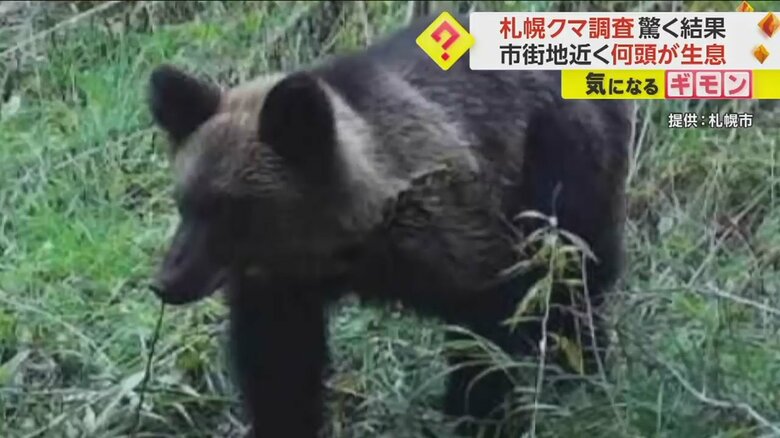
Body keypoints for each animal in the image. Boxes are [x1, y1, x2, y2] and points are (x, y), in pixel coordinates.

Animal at [146, 13, 632, 438]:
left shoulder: (461, 241)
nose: (166, 282)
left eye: (229, 208)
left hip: (561, 168)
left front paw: (477, 414)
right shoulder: (282, 287)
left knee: (573, 281)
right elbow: (280, 368)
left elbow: (487, 332)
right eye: (185, 201)